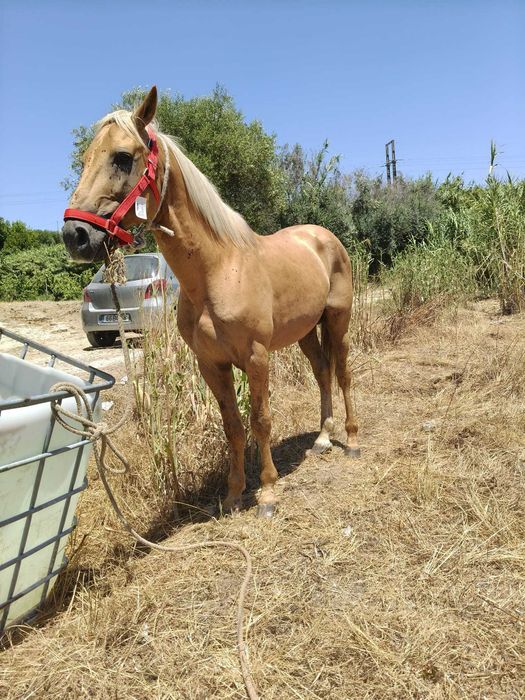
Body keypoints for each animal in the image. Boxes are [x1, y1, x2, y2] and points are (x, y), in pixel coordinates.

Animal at [62, 86, 360, 518]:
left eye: (122, 157)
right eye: (85, 159)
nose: (75, 236)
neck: (218, 269)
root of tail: (324, 237)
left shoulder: (255, 356)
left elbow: (261, 419)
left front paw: (267, 493)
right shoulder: (210, 363)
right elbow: (233, 425)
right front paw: (234, 493)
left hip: (338, 320)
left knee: (343, 374)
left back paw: (351, 440)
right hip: (305, 331)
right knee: (322, 373)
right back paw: (322, 438)